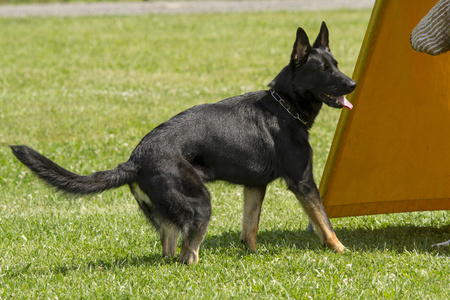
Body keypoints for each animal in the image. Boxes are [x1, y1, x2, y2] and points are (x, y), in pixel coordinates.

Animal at [9, 21, 356, 264]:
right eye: (323, 70)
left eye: (336, 64)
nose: (352, 84)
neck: (284, 106)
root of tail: (134, 160)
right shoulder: (303, 182)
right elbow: (324, 223)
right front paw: (341, 250)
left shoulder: (255, 187)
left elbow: (250, 229)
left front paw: (253, 255)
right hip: (201, 204)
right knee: (189, 255)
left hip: (172, 217)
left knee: (170, 251)